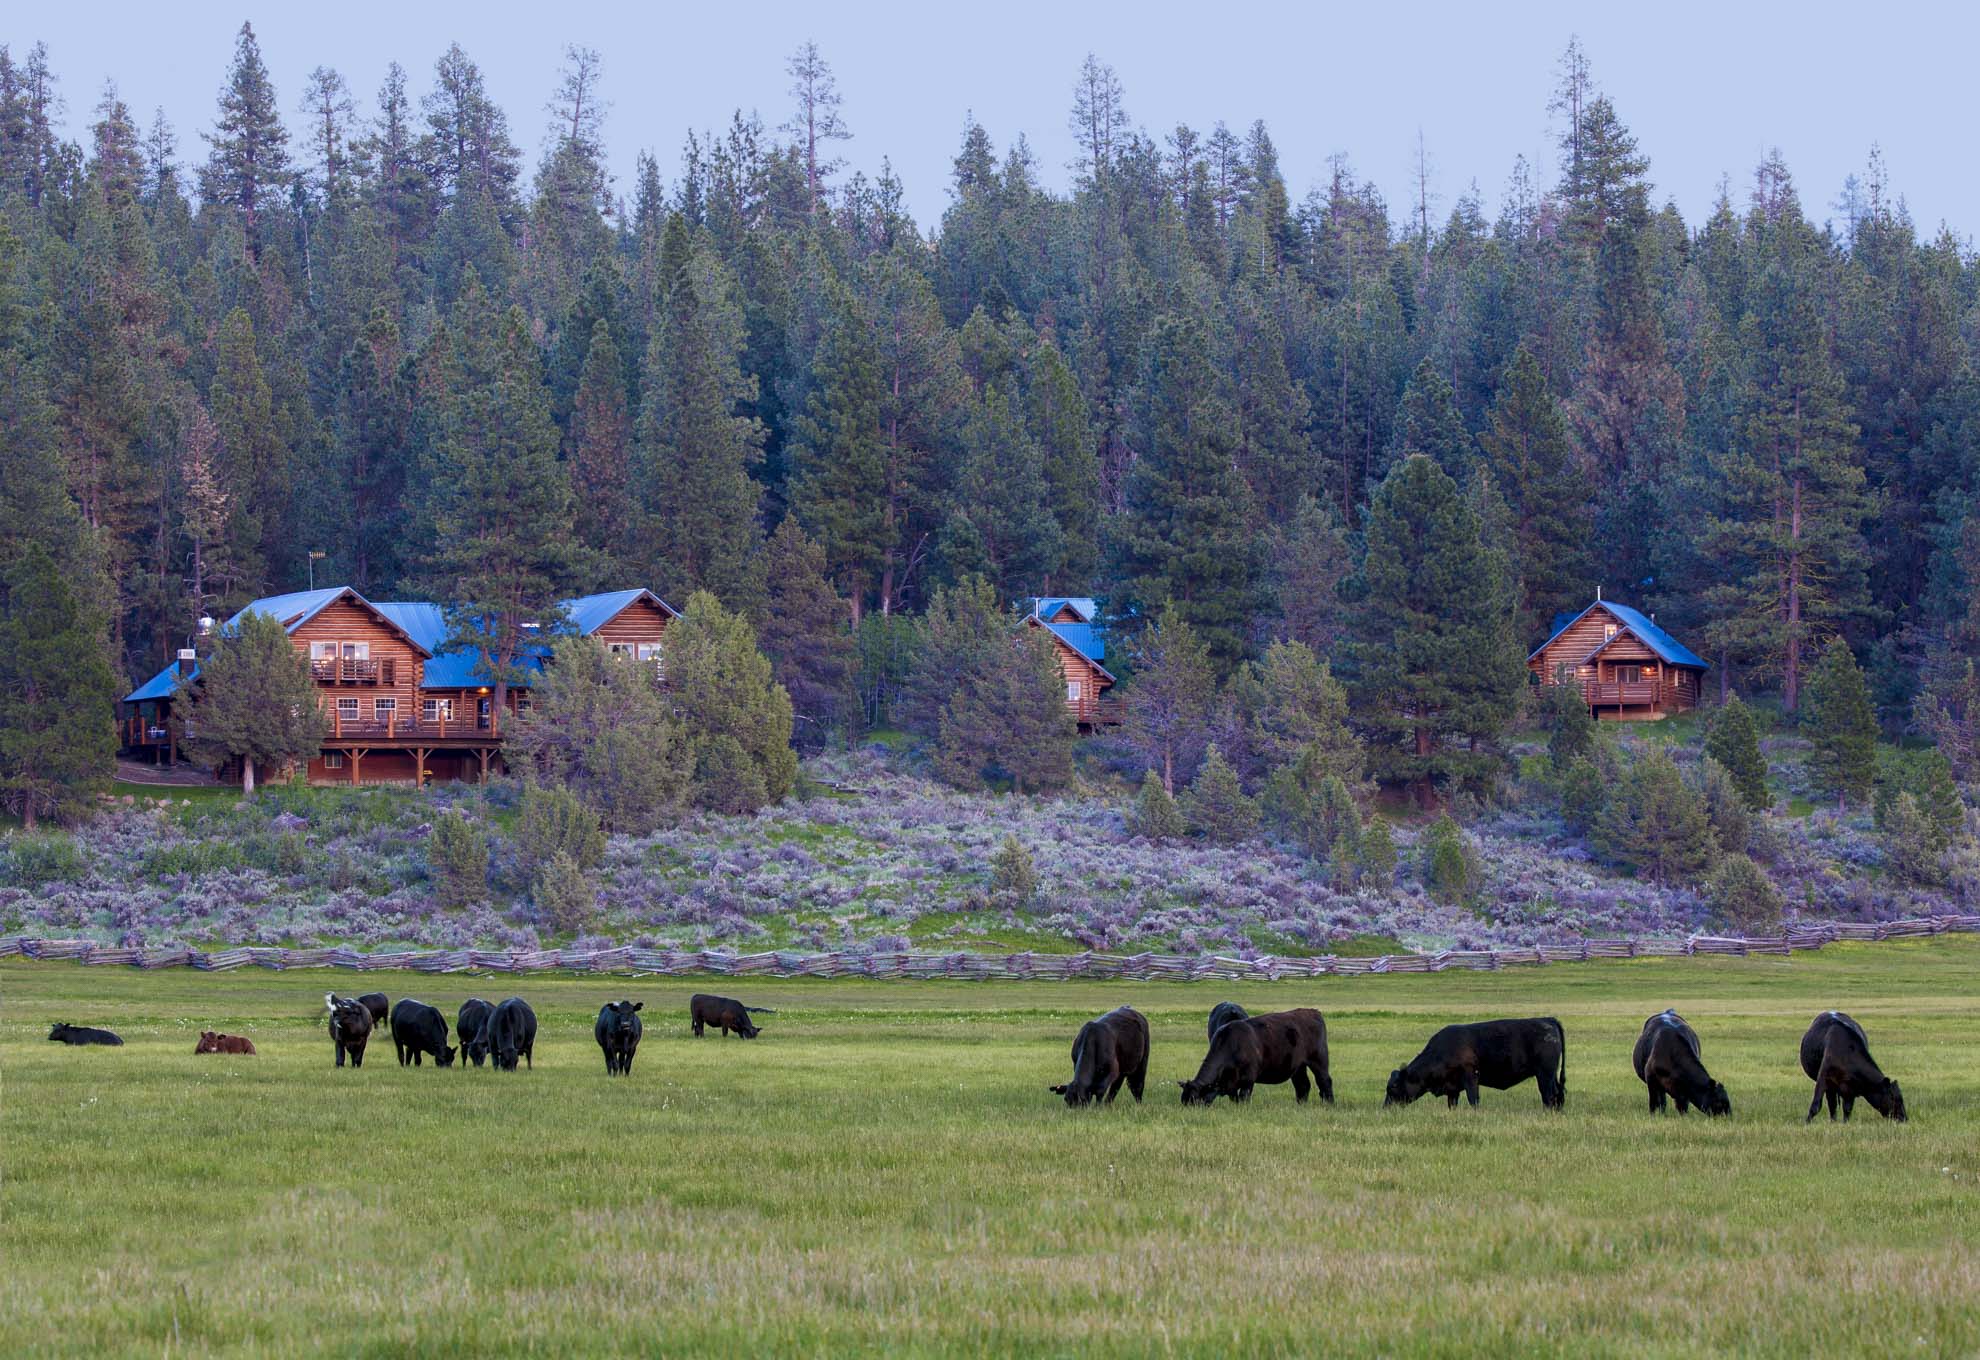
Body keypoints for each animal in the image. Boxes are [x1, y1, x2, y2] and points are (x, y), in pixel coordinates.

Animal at [1179, 1008, 1332, 1106]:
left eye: (1195, 1100)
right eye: (1184, 1100)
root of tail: (1313, 1012)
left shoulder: (1248, 1078)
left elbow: (1244, 1096)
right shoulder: (1231, 1083)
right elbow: (1234, 1097)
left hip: (1319, 1060)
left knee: (1324, 1081)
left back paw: (1329, 1103)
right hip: (1299, 1066)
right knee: (1303, 1085)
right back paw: (1301, 1104)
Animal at [1385, 1018, 1566, 1110]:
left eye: (1393, 1086)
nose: (1386, 1108)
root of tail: (1548, 1020)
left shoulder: (1471, 1078)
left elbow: (1473, 1099)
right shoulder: (1453, 1088)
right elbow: (1452, 1104)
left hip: (1545, 1075)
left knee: (1549, 1094)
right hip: (1551, 1075)